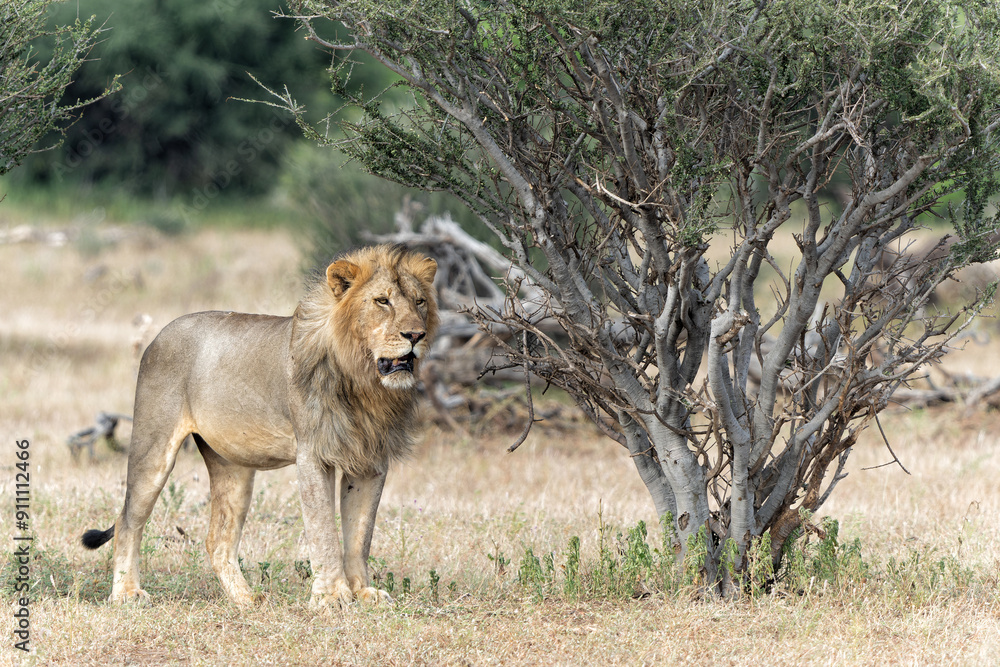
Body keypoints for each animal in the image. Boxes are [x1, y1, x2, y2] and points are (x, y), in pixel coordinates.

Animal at [81, 244, 438, 608]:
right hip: (153, 447)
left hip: (233, 466)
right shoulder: (313, 454)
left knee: (218, 540)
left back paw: (247, 600)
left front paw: (363, 591)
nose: (415, 335)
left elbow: (360, 533)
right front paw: (332, 597)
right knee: (126, 521)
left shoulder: (371, 460)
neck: (363, 381)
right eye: (382, 301)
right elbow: (323, 529)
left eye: (420, 301)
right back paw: (126, 593)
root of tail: (159, 335)